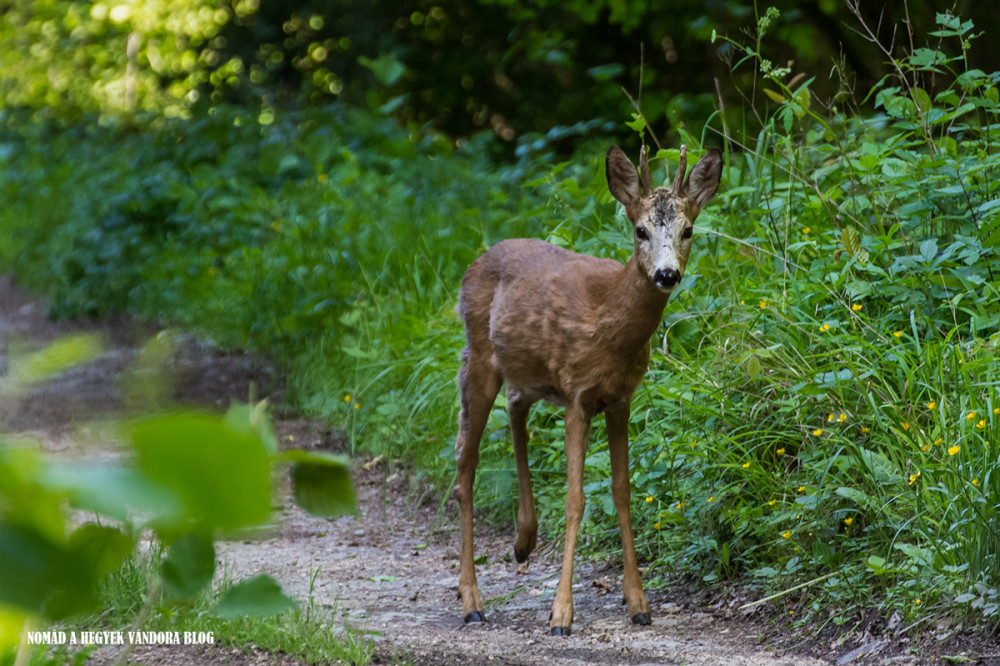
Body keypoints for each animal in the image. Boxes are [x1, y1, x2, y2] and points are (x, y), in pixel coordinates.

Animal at [458, 144, 724, 632]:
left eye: (688, 229)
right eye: (640, 229)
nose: (666, 275)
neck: (609, 318)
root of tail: (476, 261)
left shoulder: (620, 400)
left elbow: (622, 492)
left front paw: (638, 603)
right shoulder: (577, 396)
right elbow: (576, 498)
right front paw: (561, 613)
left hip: (529, 373)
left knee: (516, 409)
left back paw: (523, 540)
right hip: (479, 360)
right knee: (465, 466)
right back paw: (472, 601)